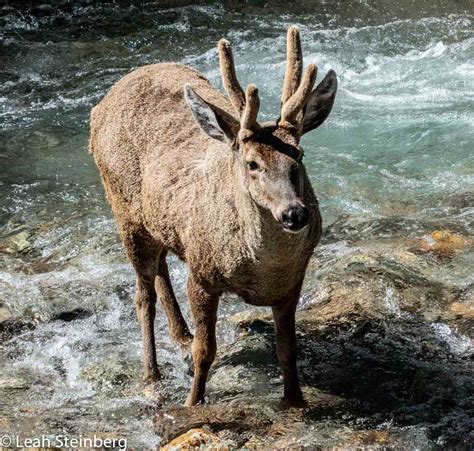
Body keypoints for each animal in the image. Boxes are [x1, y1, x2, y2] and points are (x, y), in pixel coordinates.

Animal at [90, 25, 336, 406]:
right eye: (252, 163)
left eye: (299, 155)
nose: (294, 214)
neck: (263, 268)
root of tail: (103, 101)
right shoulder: (202, 274)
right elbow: (206, 351)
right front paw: (193, 402)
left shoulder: (291, 283)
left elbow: (288, 348)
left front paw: (295, 400)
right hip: (124, 211)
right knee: (142, 297)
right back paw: (151, 377)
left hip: (159, 221)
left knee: (160, 268)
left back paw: (181, 335)